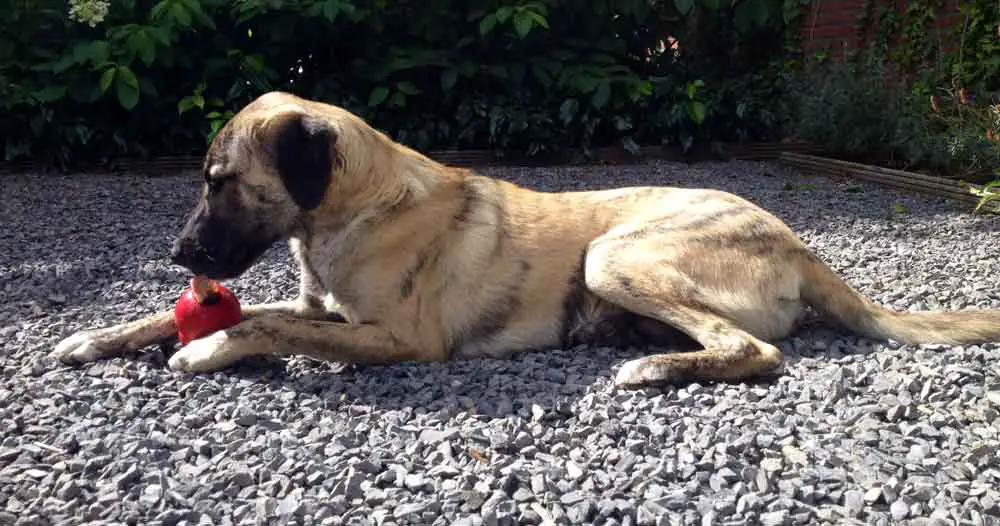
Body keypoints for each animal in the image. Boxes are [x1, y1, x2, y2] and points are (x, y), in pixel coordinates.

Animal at [52, 89, 1000, 388]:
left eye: (220, 182)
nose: (180, 257)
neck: (353, 206)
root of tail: (804, 245)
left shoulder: (399, 338)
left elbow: (264, 323)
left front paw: (206, 350)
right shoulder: (325, 303)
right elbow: (246, 313)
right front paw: (99, 334)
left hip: (617, 251)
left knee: (754, 351)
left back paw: (657, 366)